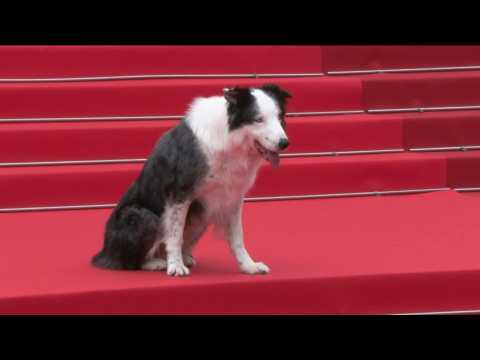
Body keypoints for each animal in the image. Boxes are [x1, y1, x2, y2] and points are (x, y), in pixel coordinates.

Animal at [91, 83, 290, 276]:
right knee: (130, 262)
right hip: (142, 217)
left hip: (202, 216)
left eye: (280, 117)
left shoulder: (232, 196)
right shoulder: (179, 193)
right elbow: (175, 235)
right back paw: (156, 263)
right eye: (258, 119)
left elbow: (238, 238)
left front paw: (249, 266)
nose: (284, 143)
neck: (229, 141)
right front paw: (175, 266)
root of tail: (103, 253)